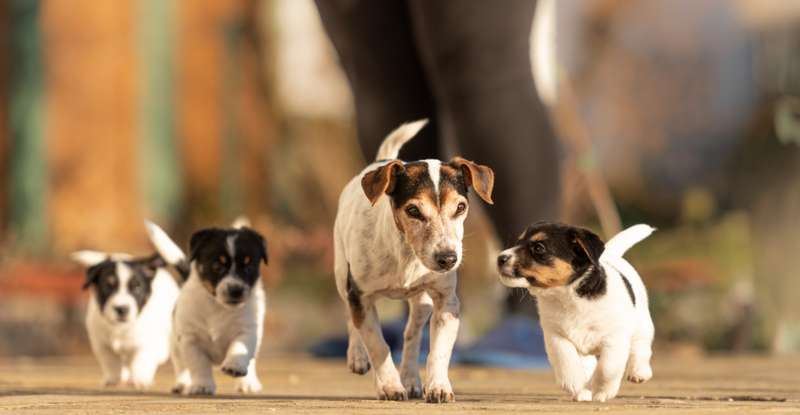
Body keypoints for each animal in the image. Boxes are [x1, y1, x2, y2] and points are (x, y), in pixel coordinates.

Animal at [73, 221, 186, 390]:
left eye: (137, 287)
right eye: (108, 286)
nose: (121, 309)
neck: (120, 329)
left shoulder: (147, 344)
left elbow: (140, 361)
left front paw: (140, 379)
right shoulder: (101, 345)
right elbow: (111, 363)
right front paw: (113, 379)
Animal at [164, 219, 270, 394]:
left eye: (249, 267)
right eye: (217, 266)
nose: (236, 290)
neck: (218, 306)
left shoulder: (247, 330)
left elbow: (239, 348)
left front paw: (235, 366)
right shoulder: (190, 339)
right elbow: (198, 365)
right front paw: (202, 385)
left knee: (252, 361)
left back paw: (247, 383)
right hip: (175, 344)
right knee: (180, 365)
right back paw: (182, 383)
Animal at [332, 119, 494, 404]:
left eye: (460, 207)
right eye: (413, 210)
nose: (448, 259)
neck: (406, 254)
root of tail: (384, 160)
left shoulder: (446, 302)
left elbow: (438, 351)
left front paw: (438, 386)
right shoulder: (360, 296)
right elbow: (378, 344)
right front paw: (389, 385)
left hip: (422, 303)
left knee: (411, 334)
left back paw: (410, 378)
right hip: (342, 276)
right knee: (352, 320)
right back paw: (358, 357)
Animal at [494, 224, 656, 404]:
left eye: (538, 248)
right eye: (518, 242)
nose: (500, 258)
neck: (567, 295)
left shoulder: (614, 339)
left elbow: (608, 368)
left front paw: (603, 390)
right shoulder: (555, 336)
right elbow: (566, 360)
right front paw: (574, 384)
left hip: (642, 324)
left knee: (640, 347)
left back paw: (638, 371)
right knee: (587, 362)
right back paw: (585, 388)